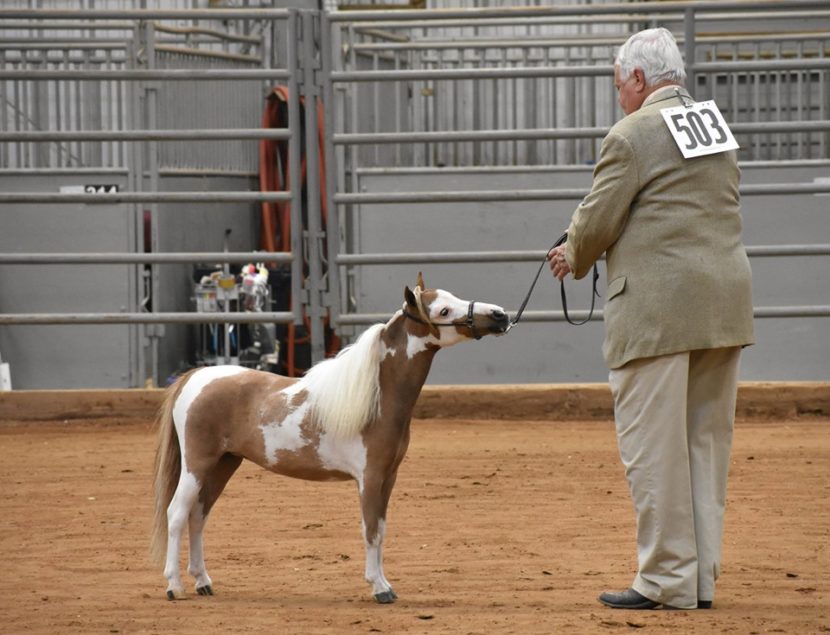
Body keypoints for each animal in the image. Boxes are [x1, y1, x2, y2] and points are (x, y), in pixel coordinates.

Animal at [150, 274, 509, 603]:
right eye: (444, 310)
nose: (500, 315)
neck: (376, 396)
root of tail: (195, 377)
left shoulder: (388, 478)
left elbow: (381, 529)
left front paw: (384, 583)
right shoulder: (369, 478)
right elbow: (370, 530)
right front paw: (379, 588)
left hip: (223, 465)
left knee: (198, 516)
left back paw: (203, 582)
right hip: (197, 465)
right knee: (177, 514)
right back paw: (174, 586)